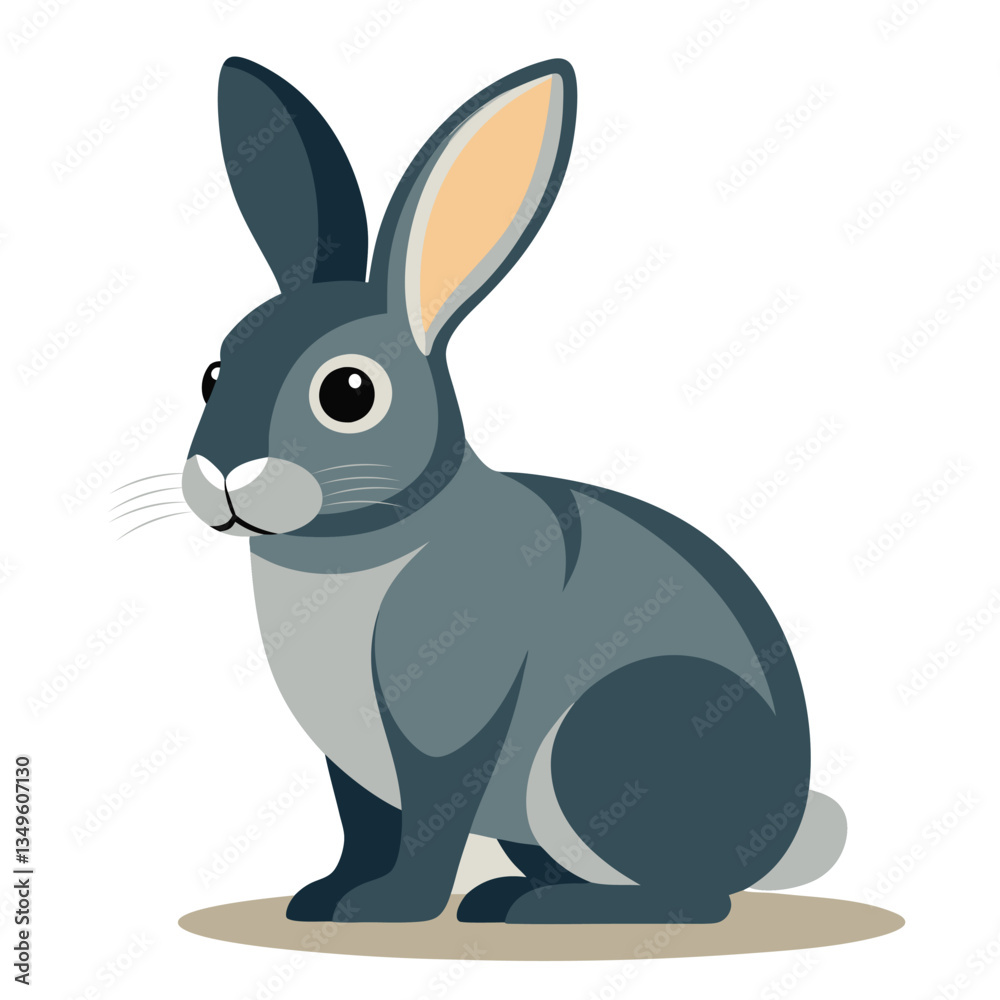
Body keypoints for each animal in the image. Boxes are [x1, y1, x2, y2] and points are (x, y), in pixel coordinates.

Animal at [180, 56, 847, 925]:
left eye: (349, 393)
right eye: (212, 375)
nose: (223, 476)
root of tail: (781, 837)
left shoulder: (445, 719)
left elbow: (431, 816)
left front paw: (388, 908)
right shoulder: (352, 761)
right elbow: (364, 824)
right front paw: (323, 900)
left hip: (609, 737)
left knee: (695, 901)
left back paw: (541, 912)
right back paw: (511, 894)